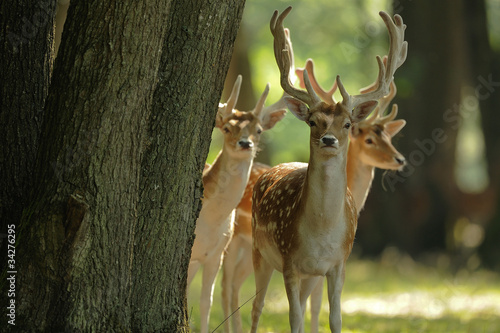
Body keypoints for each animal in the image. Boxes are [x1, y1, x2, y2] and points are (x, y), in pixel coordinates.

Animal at [188, 73, 288, 332]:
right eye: (227, 127)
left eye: (259, 130)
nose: (245, 143)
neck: (210, 219)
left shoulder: (215, 253)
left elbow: (206, 301)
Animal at [250, 6, 406, 330]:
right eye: (313, 121)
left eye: (347, 124)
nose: (328, 139)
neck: (321, 231)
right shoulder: (289, 260)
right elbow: (294, 319)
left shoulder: (338, 264)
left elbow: (334, 319)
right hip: (258, 250)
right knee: (256, 306)